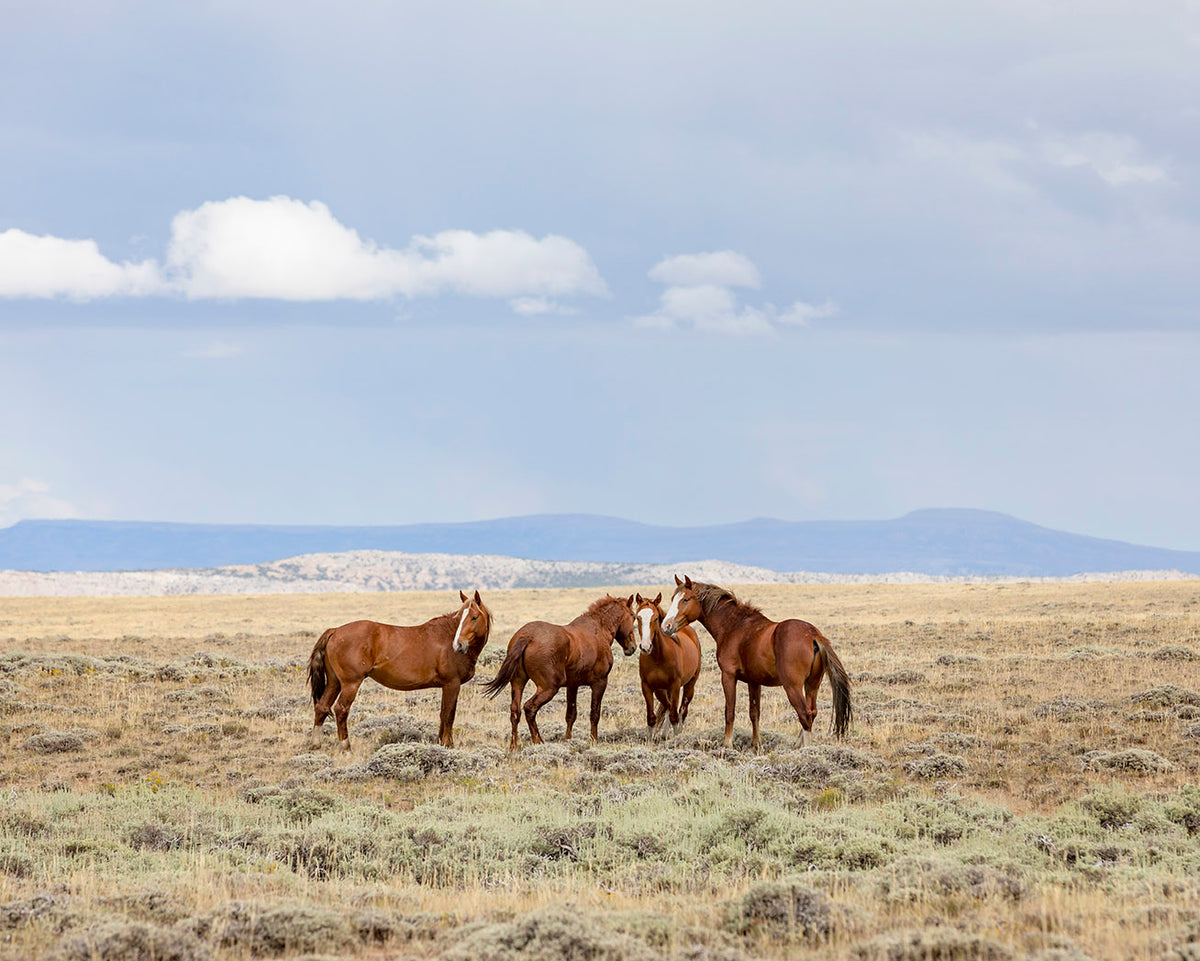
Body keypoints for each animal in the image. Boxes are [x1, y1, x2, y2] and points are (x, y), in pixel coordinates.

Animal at [312, 587, 494, 753]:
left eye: (474, 617)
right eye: (460, 617)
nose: (458, 645)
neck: (447, 637)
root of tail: (335, 631)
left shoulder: (448, 686)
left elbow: (444, 714)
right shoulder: (452, 684)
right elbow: (448, 715)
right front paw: (448, 745)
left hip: (334, 682)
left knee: (322, 706)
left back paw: (315, 745)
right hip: (350, 684)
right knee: (341, 709)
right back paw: (346, 747)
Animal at [482, 592, 643, 748]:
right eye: (633, 616)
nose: (632, 647)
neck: (598, 629)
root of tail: (527, 636)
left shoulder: (573, 685)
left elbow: (571, 714)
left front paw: (567, 740)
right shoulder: (600, 683)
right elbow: (594, 713)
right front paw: (593, 741)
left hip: (518, 683)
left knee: (515, 711)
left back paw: (514, 746)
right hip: (549, 688)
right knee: (529, 708)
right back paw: (538, 741)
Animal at [628, 587, 700, 739]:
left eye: (655, 618)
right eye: (638, 617)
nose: (645, 647)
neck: (658, 657)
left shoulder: (675, 685)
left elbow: (674, 715)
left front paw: (676, 738)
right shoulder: (648, 686)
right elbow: (652, 717)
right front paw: (650, 740)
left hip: (690, 684)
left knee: (682, 710)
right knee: (668, 706)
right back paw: (664, 734)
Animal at [662, 578, 849, 748]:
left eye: (686, 599)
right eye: (672, 598)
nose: (666, 626)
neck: (734, 627)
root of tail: (813, 635)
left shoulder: (728, 676)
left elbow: (729, 712)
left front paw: (727, 745)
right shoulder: (754, 682)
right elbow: (754, 713)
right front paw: (755, 745)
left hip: (793, 687)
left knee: (805, 716)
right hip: (812, 685)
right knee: (812, 712)